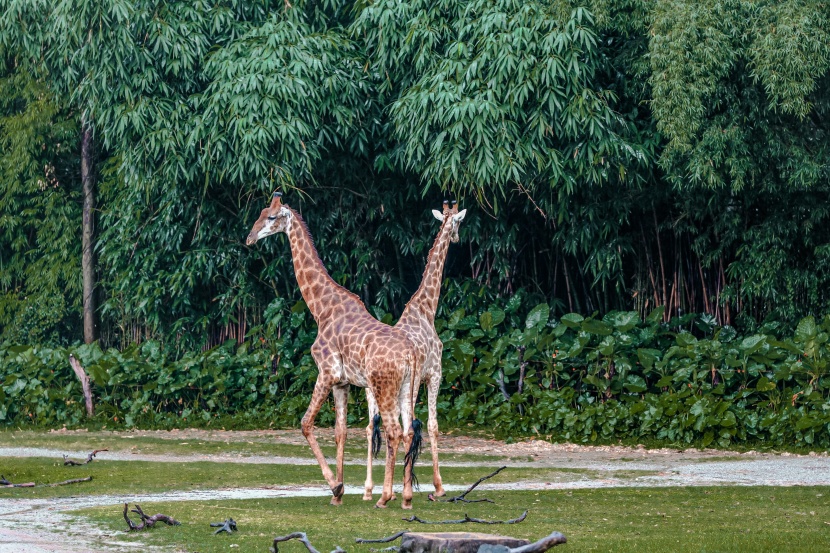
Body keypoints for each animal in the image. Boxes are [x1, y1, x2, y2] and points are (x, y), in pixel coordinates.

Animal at [244, 191, 420, 508]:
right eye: (260, 213)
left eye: (271, 217)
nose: (250, 238)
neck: (321, 308)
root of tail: (410, 354)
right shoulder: (342, 383)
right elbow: (341, 432)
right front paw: (338, 493)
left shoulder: (326, 372)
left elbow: (305, 423)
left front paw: (335, 486)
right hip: (405, 388)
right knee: (409, 431)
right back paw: (406, 498)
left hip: (383, 386)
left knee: (394, 431)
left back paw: (384, 497)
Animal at [364, 199, 468, 500]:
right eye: (458, 222)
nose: (457, 238)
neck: (426, 309)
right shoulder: (434, 375)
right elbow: (431, 425)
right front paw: (438, 485)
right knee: (401, 427)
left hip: (371, 390)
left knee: (371, 427)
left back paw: (370, 489)